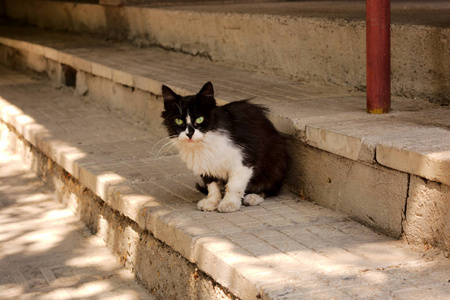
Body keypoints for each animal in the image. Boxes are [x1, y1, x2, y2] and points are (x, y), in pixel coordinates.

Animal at [162, 82, 288, 212]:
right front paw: (212, 202)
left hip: (276, 160)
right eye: (178, 121)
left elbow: (233, 185)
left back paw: (253, 197)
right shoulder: (205, 165)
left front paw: (229, 203)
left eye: (200, 119)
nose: (189, 134)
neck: (206, 142)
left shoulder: (244, 159)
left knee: (271, 187)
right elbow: (212, 186)